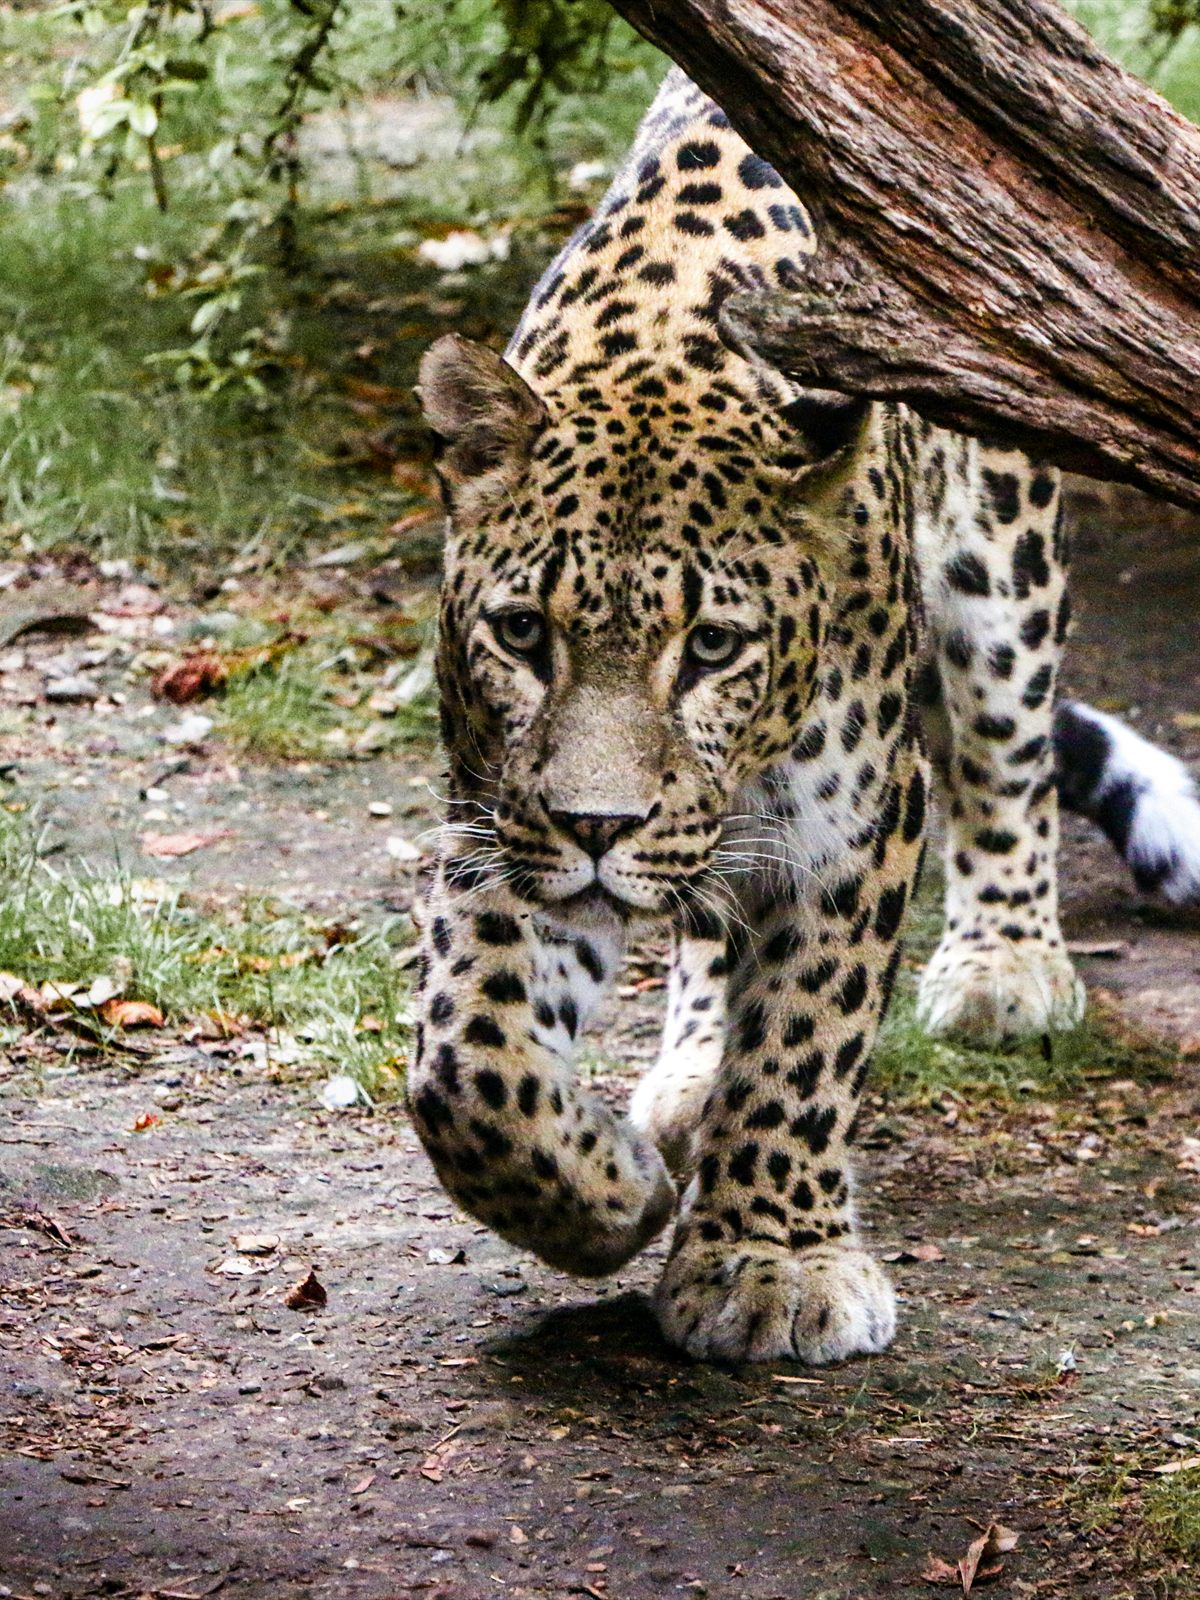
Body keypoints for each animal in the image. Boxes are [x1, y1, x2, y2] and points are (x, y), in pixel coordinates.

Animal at [406, 69, 1200, 1364]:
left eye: (711, 647)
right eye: (523, 634)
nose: (597, 829)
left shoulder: (856, 820)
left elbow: (807, 1033)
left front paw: (766, 1260)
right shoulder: (498, 817)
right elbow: (470, 1062)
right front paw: (611, 1191)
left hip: (1002, 548)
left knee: (1007, 750)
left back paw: (1006, 965)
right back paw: (686, 1074)